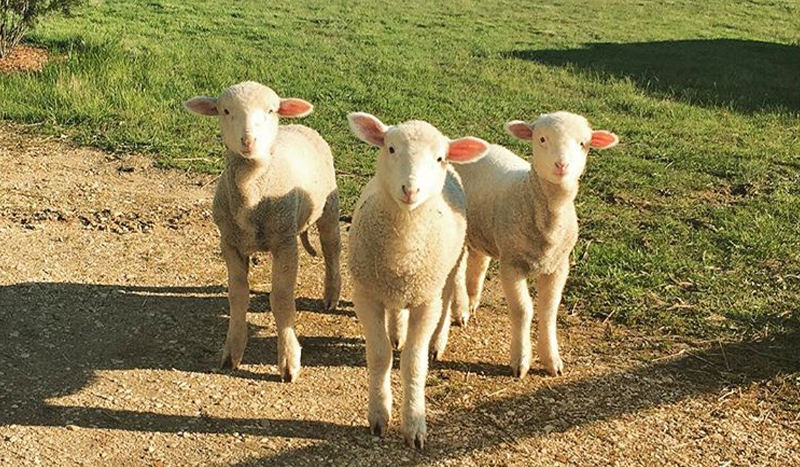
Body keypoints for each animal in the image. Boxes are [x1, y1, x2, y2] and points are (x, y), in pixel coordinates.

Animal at [185, 81, 340, 384]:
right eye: (225, 110)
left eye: (270, 110)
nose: (248, 141)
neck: (251, 190)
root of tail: (299, 126)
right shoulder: (229, 243)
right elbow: (237, 295)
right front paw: (232, 352)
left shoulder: (285, 242)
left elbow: (280, 299)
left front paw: (289, 362)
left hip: (329, 206)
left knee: (331, 249)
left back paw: (331, 294)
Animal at [348, 112, 488, 450]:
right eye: (390, 148)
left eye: (438, 158)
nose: (410, 190)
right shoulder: (366, 294)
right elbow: (380, 355)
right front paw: (379, 415)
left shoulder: (426, 300)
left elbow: (414, 362)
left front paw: (414, 424)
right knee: (397, 312)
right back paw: (396, 331)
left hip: (446, 272)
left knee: (447, 301)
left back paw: (438, 341)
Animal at [438, 112, 620, 380]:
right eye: (542, 139)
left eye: (583, 144)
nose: (562, 165)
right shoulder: (512, 265)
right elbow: (523, 310)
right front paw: (521, 360)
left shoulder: (559, 266)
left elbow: (549, 310)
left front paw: (552, 360)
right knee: (458, 271)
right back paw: (460, 308)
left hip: (483, 231)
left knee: (478, 262)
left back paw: (471, 301)